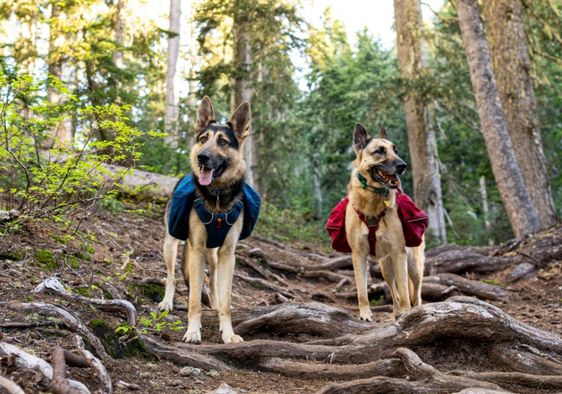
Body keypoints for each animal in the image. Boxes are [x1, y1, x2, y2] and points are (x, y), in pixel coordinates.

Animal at [159, 97, 260, 344]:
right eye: (203, 139)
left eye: (223, 142)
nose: (201, 157)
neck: (217, 198)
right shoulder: (196, 250)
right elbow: (194, 299)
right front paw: (193, 331)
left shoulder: (228, 254)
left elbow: (226, 302)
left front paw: (228, 332)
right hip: (171, 244)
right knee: (171, 277)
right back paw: (167, 302)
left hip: (213, 255)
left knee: (213, 281)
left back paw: (213, 303)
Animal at [324, 124, 424, 322]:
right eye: (380, 151)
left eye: (396, 150)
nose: (403, 166)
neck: (372, 201)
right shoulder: (358, 255)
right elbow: (362, 290)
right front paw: (365, 315)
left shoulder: (399, 253)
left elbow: (404, 290)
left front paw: (407, 313)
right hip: (386, 268)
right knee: (394, 293)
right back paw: (395, 313)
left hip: (413, 266)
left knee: (415, 294)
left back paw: (413, 310)